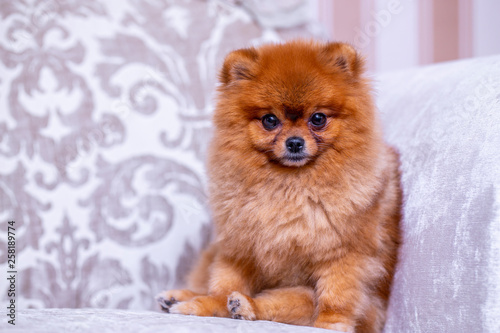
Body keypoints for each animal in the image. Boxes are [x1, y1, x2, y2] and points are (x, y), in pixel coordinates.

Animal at [156, 39, 402, 332]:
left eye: (318, 118)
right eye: (270, 120)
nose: (294, 142)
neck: (289, 186)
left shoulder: (346, 255)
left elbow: (337, 297)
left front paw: (330, 324)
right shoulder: (240, 248)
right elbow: (223, 284)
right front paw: (207, 303)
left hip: (308, 293)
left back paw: (244, 306)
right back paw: (185, 299)